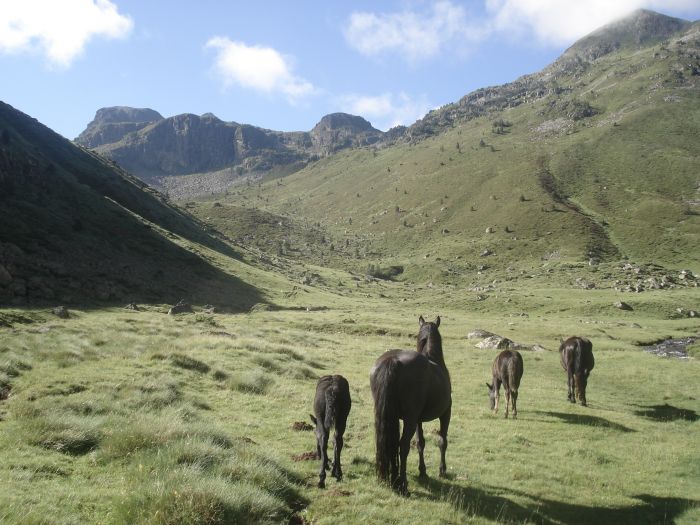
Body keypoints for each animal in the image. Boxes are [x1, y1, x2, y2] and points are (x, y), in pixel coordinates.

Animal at [370, 316, 452, 496]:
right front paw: (442, 470)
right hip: (410, 419)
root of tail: (393, 360)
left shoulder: (418, 419)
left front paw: (423, 471)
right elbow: (442, 440)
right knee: (403, 445)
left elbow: (420, 443)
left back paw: (390, 479)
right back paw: (403, 484)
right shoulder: (446, 413)